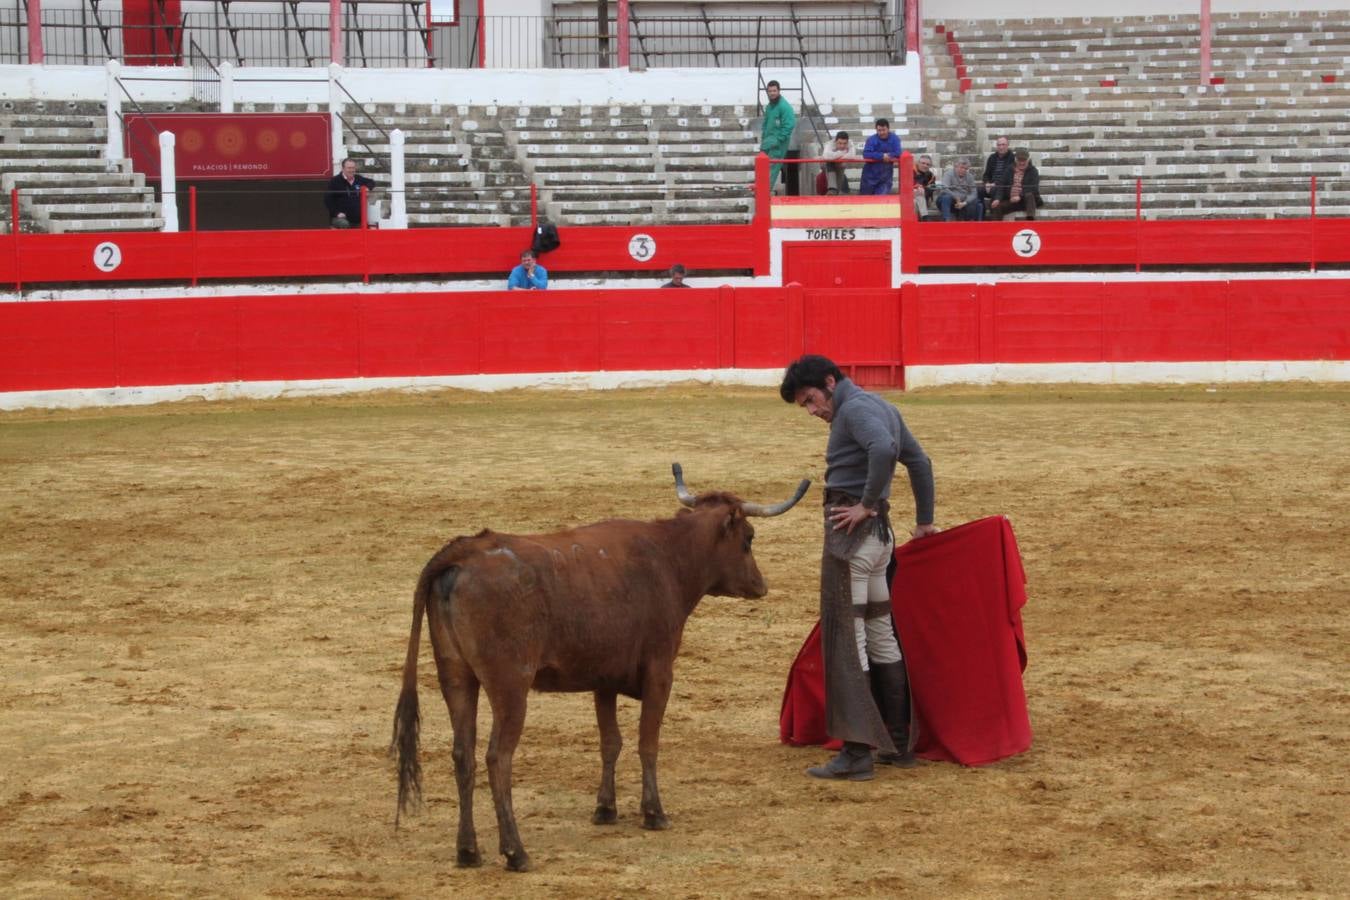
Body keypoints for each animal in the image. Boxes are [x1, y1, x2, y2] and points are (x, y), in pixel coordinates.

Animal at [391, 464, 810, 874]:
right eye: (749, 538)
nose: (761, 586)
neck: (669, 557)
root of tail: (463, 552)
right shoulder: (661, 672)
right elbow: (647, 741)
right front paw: (653, 812)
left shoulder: (603, 680)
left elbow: (611, 741)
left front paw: (605, 808)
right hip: (510, 685)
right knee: (498, 758)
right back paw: (515, 851)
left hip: (456, 677)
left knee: (463, 754)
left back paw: (467, 851)